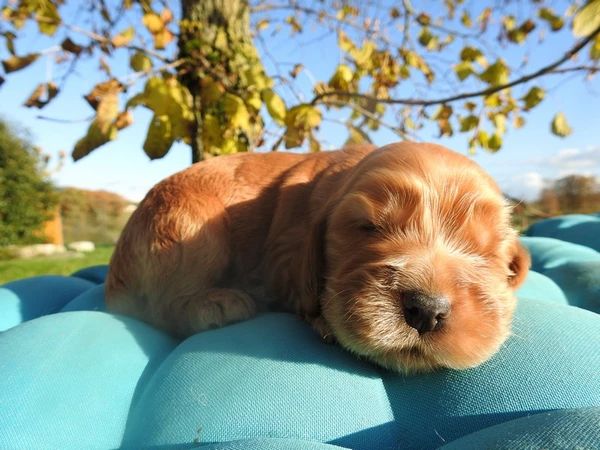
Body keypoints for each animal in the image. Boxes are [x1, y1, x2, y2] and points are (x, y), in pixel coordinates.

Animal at [105, 143, 528, 372]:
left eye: (485, 252)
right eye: (369, 227)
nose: (426, 310)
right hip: (192, 223)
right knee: (162, 303)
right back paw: (219, 303)